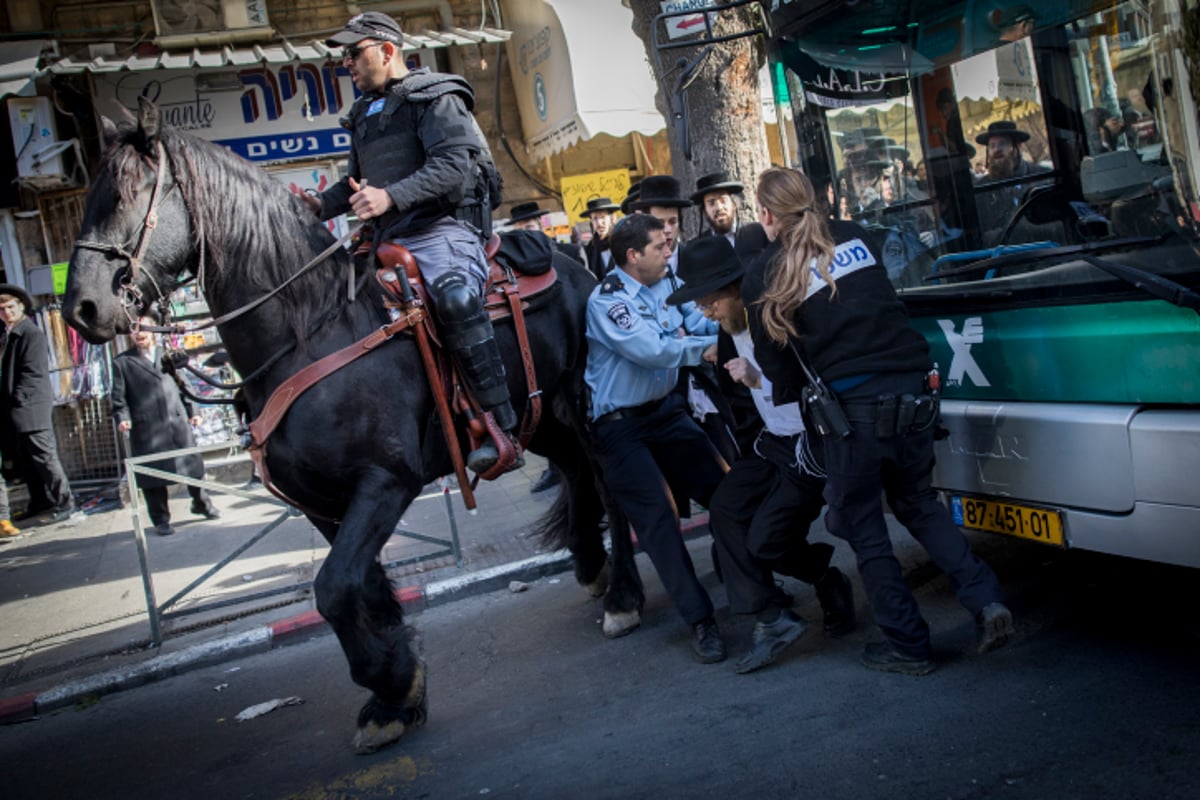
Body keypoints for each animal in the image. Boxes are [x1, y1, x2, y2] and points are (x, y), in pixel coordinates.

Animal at [63, 101, 648, 758]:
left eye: (126, 194)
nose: (80, 308)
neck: (310, 329)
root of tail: (576, 268)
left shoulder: (385, 481)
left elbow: (334, 588)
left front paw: (388, 680)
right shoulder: (321, 500)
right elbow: (361, 588)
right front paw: (397, 692)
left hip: (583, 403)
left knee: (609, 483)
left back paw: (624, 595)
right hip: (538, 415)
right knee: (573, 471)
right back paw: (590, 564)